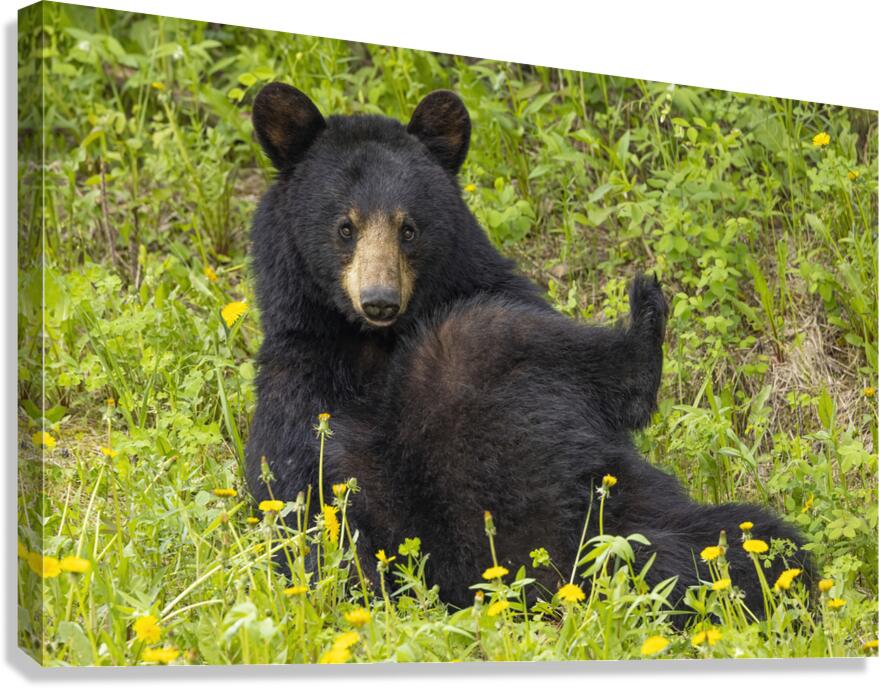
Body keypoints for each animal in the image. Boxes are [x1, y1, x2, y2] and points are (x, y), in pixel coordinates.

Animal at [245, 82, 810, 619]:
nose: (379, 299)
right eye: (346, 227)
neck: (376, 344)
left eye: (408, 229)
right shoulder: (298, 393)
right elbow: (302, 510)